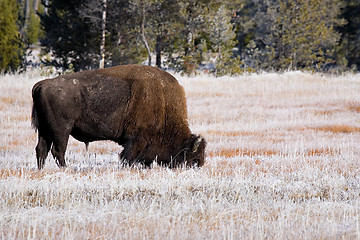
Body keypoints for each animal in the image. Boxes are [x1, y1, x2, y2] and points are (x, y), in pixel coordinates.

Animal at [32, 64, 207, 170]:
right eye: (194, 159)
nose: (198, 167)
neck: (163, 103)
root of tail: (41, 85)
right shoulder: (136, 140)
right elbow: (127, 158)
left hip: (45, 129)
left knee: (42, 149)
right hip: (62, 130)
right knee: (58, 150)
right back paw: (66, 169)